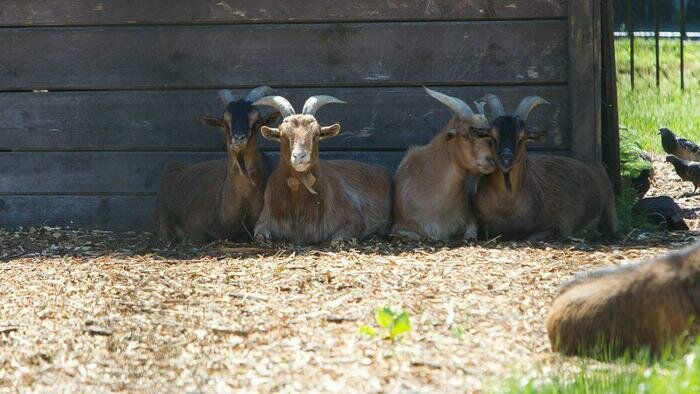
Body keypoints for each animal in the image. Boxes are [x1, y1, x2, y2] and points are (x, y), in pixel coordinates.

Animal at [252, 94, 394, 245]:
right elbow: (259, 236)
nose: (299, 156)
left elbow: (337, 240)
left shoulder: (354, 220)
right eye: (283, 135)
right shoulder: (263, 221)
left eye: (316, 134)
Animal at [474, 94, 616, 240]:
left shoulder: (558, 225)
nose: (506, 158)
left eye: (522, 137)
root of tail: (596, 166)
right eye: (492, 136)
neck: (507, 209)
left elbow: (532, 236)